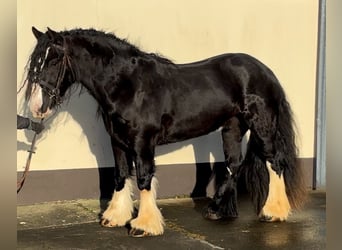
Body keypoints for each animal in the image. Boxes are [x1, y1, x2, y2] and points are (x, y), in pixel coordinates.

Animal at [24, 27, 308, 236]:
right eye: (36, 62)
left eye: (53, 59)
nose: (37, 106)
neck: (128, 85)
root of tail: (265, 72)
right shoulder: (117, 141)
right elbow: (120, 176)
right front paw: (114, 217)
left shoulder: (143, 142)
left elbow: (143, 178)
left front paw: (144, 225)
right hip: (232, 126)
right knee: (234, 164)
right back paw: (217, 210)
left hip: (262, 125)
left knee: (275, 162)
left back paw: (273, 212)